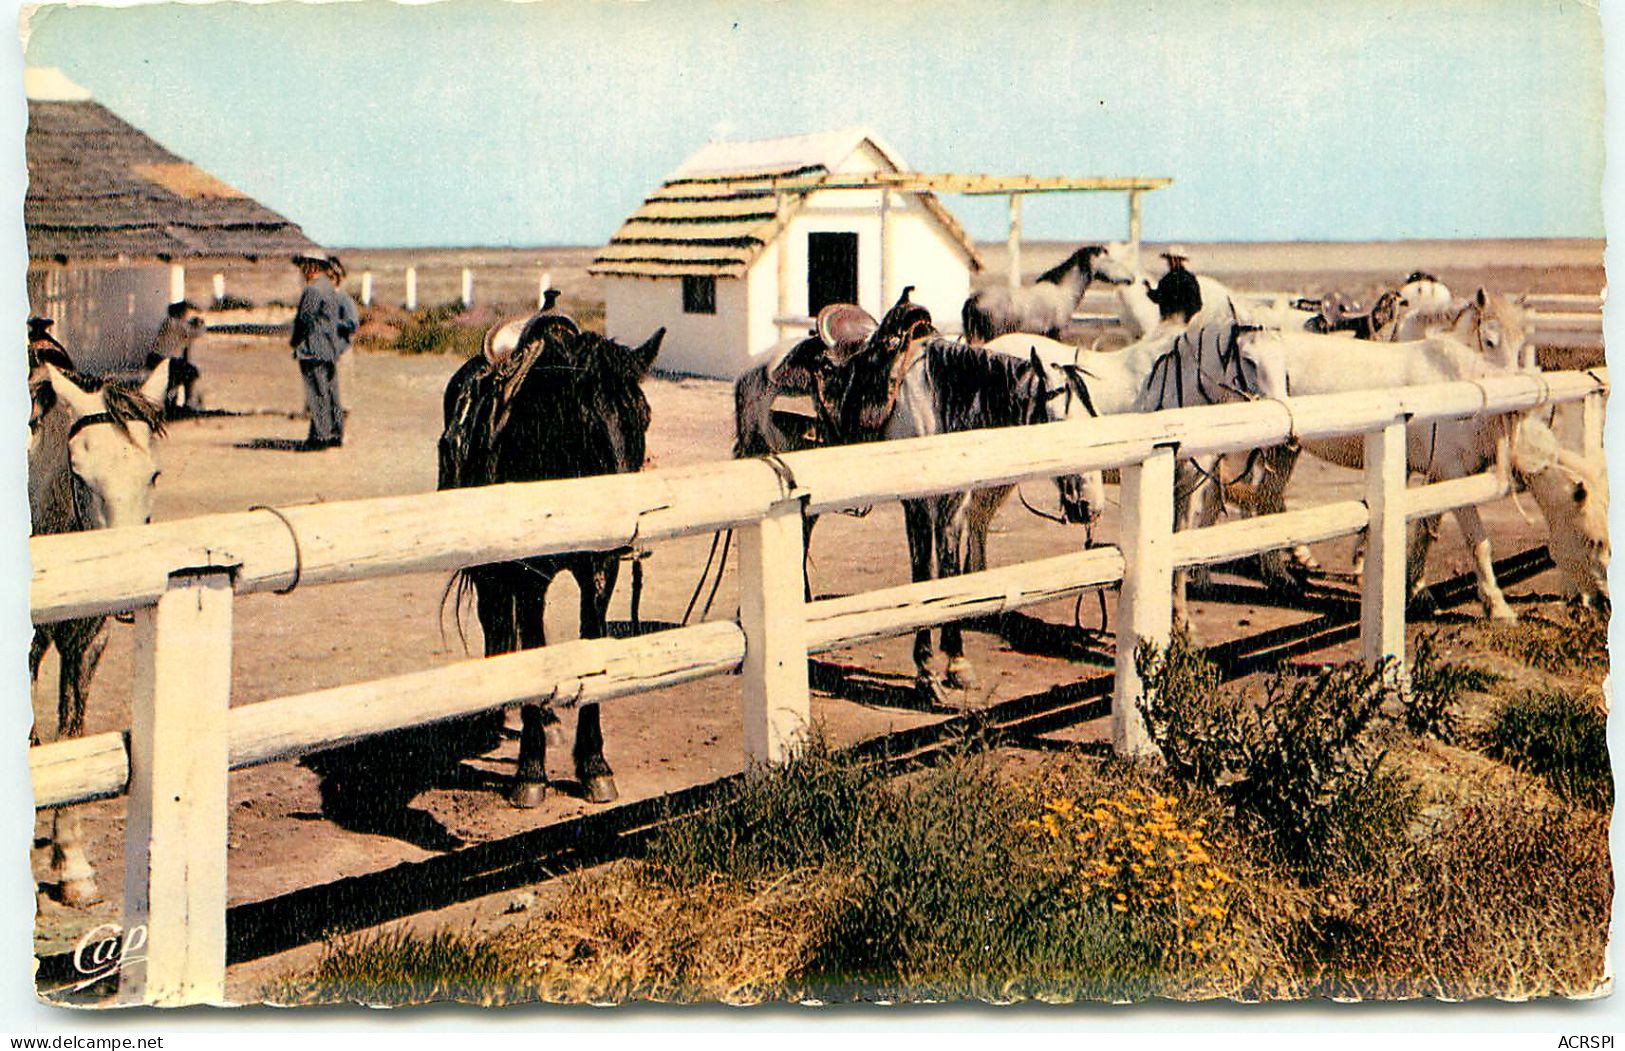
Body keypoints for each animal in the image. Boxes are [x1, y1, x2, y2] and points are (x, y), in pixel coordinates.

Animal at [438, 310, 666, 805]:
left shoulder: (600, 571)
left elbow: (591, 646)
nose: (628, 525)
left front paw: (595, 766)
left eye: (644, 416)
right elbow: (535, 649)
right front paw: (530, 772)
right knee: (496, 624)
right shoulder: (528, 577)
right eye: (585, 422)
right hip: (491, 568)